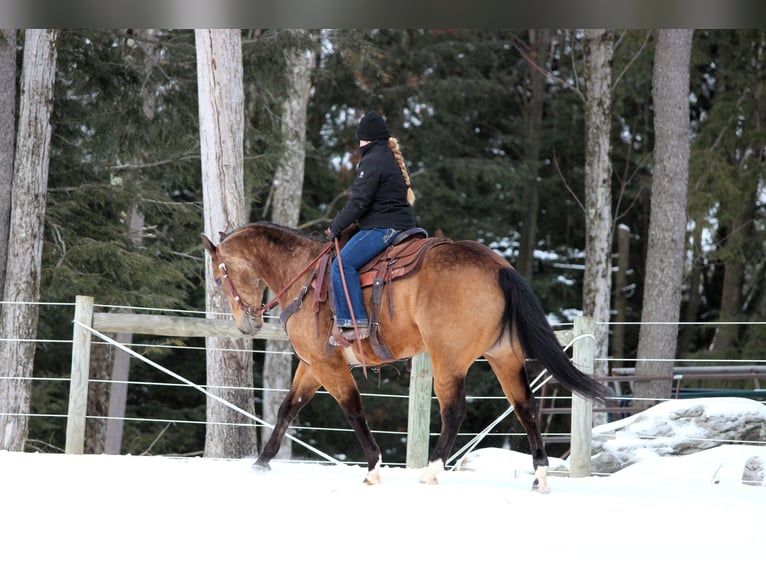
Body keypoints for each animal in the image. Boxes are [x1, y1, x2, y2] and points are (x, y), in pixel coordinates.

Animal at [202, 223, 612, 492]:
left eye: (219, 280)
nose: (247, 325)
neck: (303, 277)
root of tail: (499, 268)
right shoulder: (312, 364)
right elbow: (289, 408)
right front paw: (261, 463)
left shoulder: (327, 364)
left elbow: (352, 409)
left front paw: (372, 466)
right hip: (504, 357)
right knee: (526, 407)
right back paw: (540, 475)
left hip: (449, 359)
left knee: (454, 411)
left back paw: (431, 470)